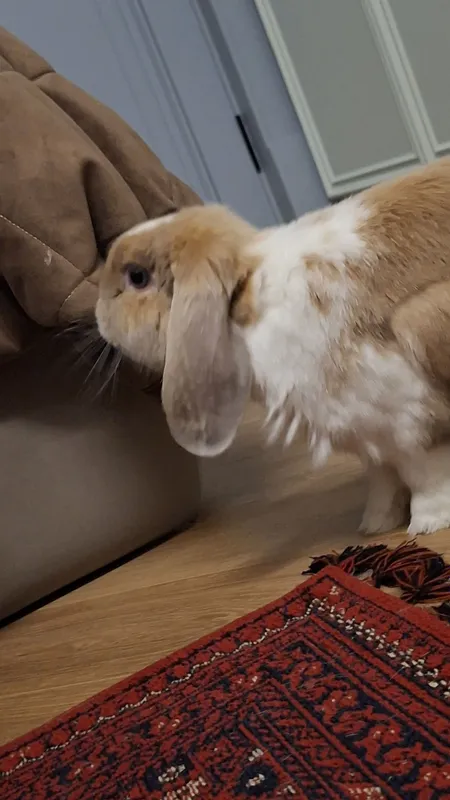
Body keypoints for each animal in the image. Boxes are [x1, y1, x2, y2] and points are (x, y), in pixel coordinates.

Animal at [96, 158, 450, 537]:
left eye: (137, 277)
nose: (97, 313)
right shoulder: (370, 436)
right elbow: (384, 481)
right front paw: (374, 525)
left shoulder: (411, 423)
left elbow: (426, 477)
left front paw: (426, 524)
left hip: (419, 323)